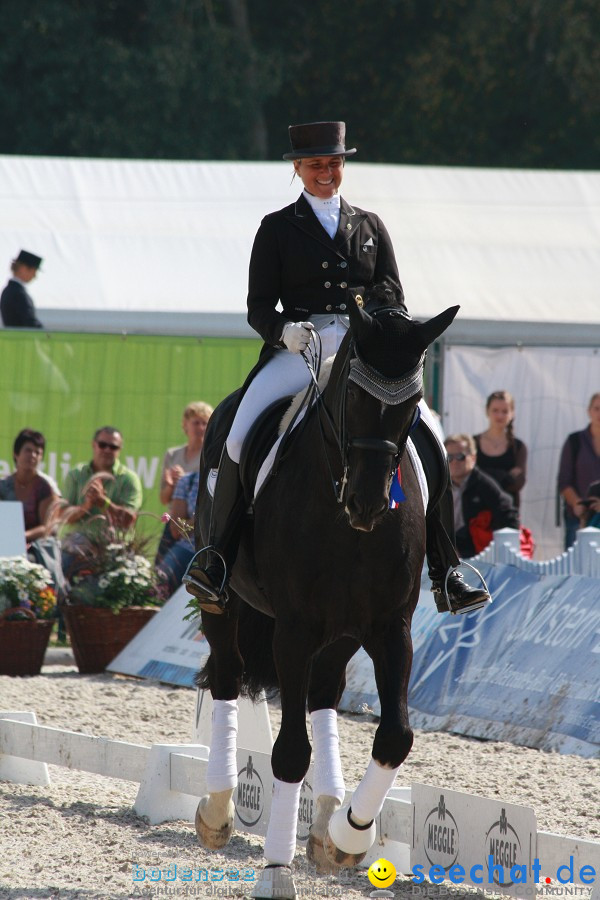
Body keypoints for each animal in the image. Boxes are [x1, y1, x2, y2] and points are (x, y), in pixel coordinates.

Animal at [192, 298, 460, 900]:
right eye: (355, 397)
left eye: (411, 404)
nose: (368, 502)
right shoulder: (294, 631)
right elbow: (290, 752)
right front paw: (275, 870)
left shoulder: (390, 628)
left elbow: (396, 735)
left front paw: (349, 834)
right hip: (223, 600)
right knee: (227, 675)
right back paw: (217, 809)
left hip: (342, 634)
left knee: (323, 693)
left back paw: (326, 819)